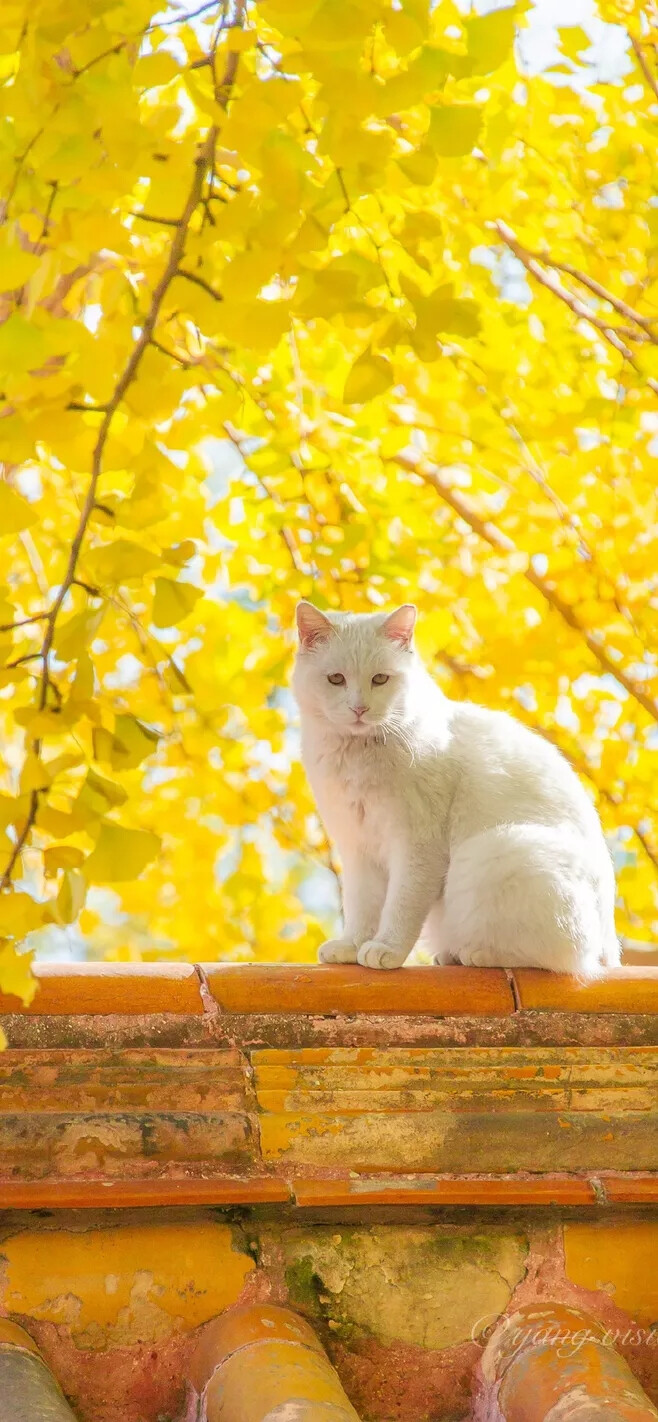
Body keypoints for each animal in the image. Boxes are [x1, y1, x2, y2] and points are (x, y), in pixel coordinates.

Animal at [291, 600, 619, 978]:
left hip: (499, 851)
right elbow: (362, 907)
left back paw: (475, 955)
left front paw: (386, 950)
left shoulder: (417, 846)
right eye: (336, 679)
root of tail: (610, 946)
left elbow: (401, 907)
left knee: (562, 958)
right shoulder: (358, 849)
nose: (359, 709)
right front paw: (351, 947)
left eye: (380, 679)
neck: (357, 753)